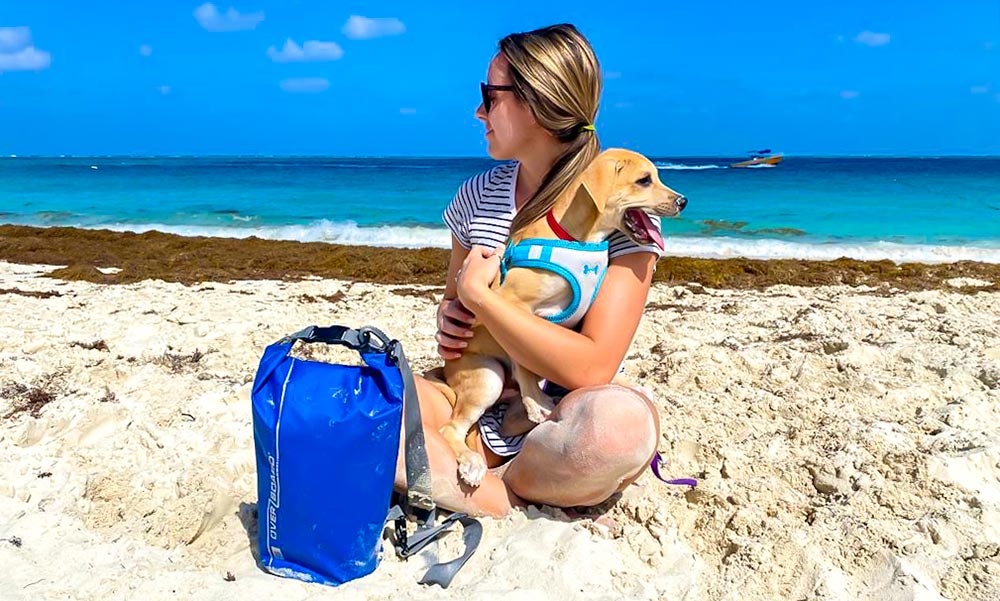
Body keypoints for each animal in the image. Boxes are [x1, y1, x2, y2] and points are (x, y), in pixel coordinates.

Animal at [440, 148, 684, 486]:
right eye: (644, 180)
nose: (683, 201)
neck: (577, 239)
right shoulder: (508, 305)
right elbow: (524, 362)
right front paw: (535, 401)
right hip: (487, 376)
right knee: (450, 429)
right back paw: (473, 461)